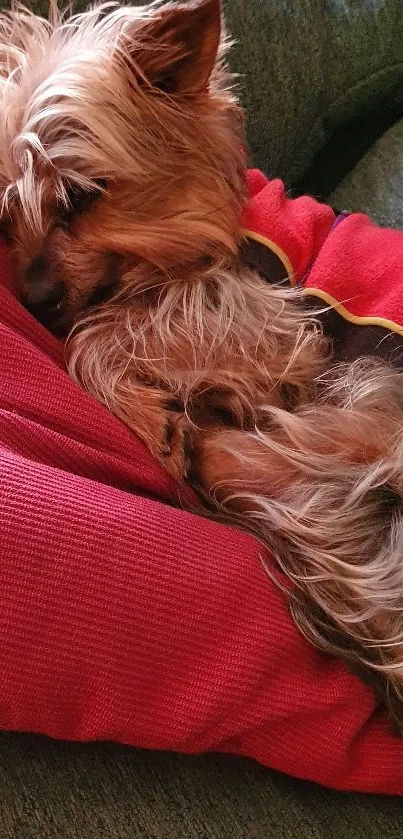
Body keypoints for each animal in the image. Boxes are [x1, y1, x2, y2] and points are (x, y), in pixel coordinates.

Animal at [2, 0, 403, 728]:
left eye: (80, 195)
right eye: (4, 217)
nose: (35, 301)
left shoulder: (269, 319)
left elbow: (103, 334)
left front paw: (144, 408)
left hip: (370, 405)